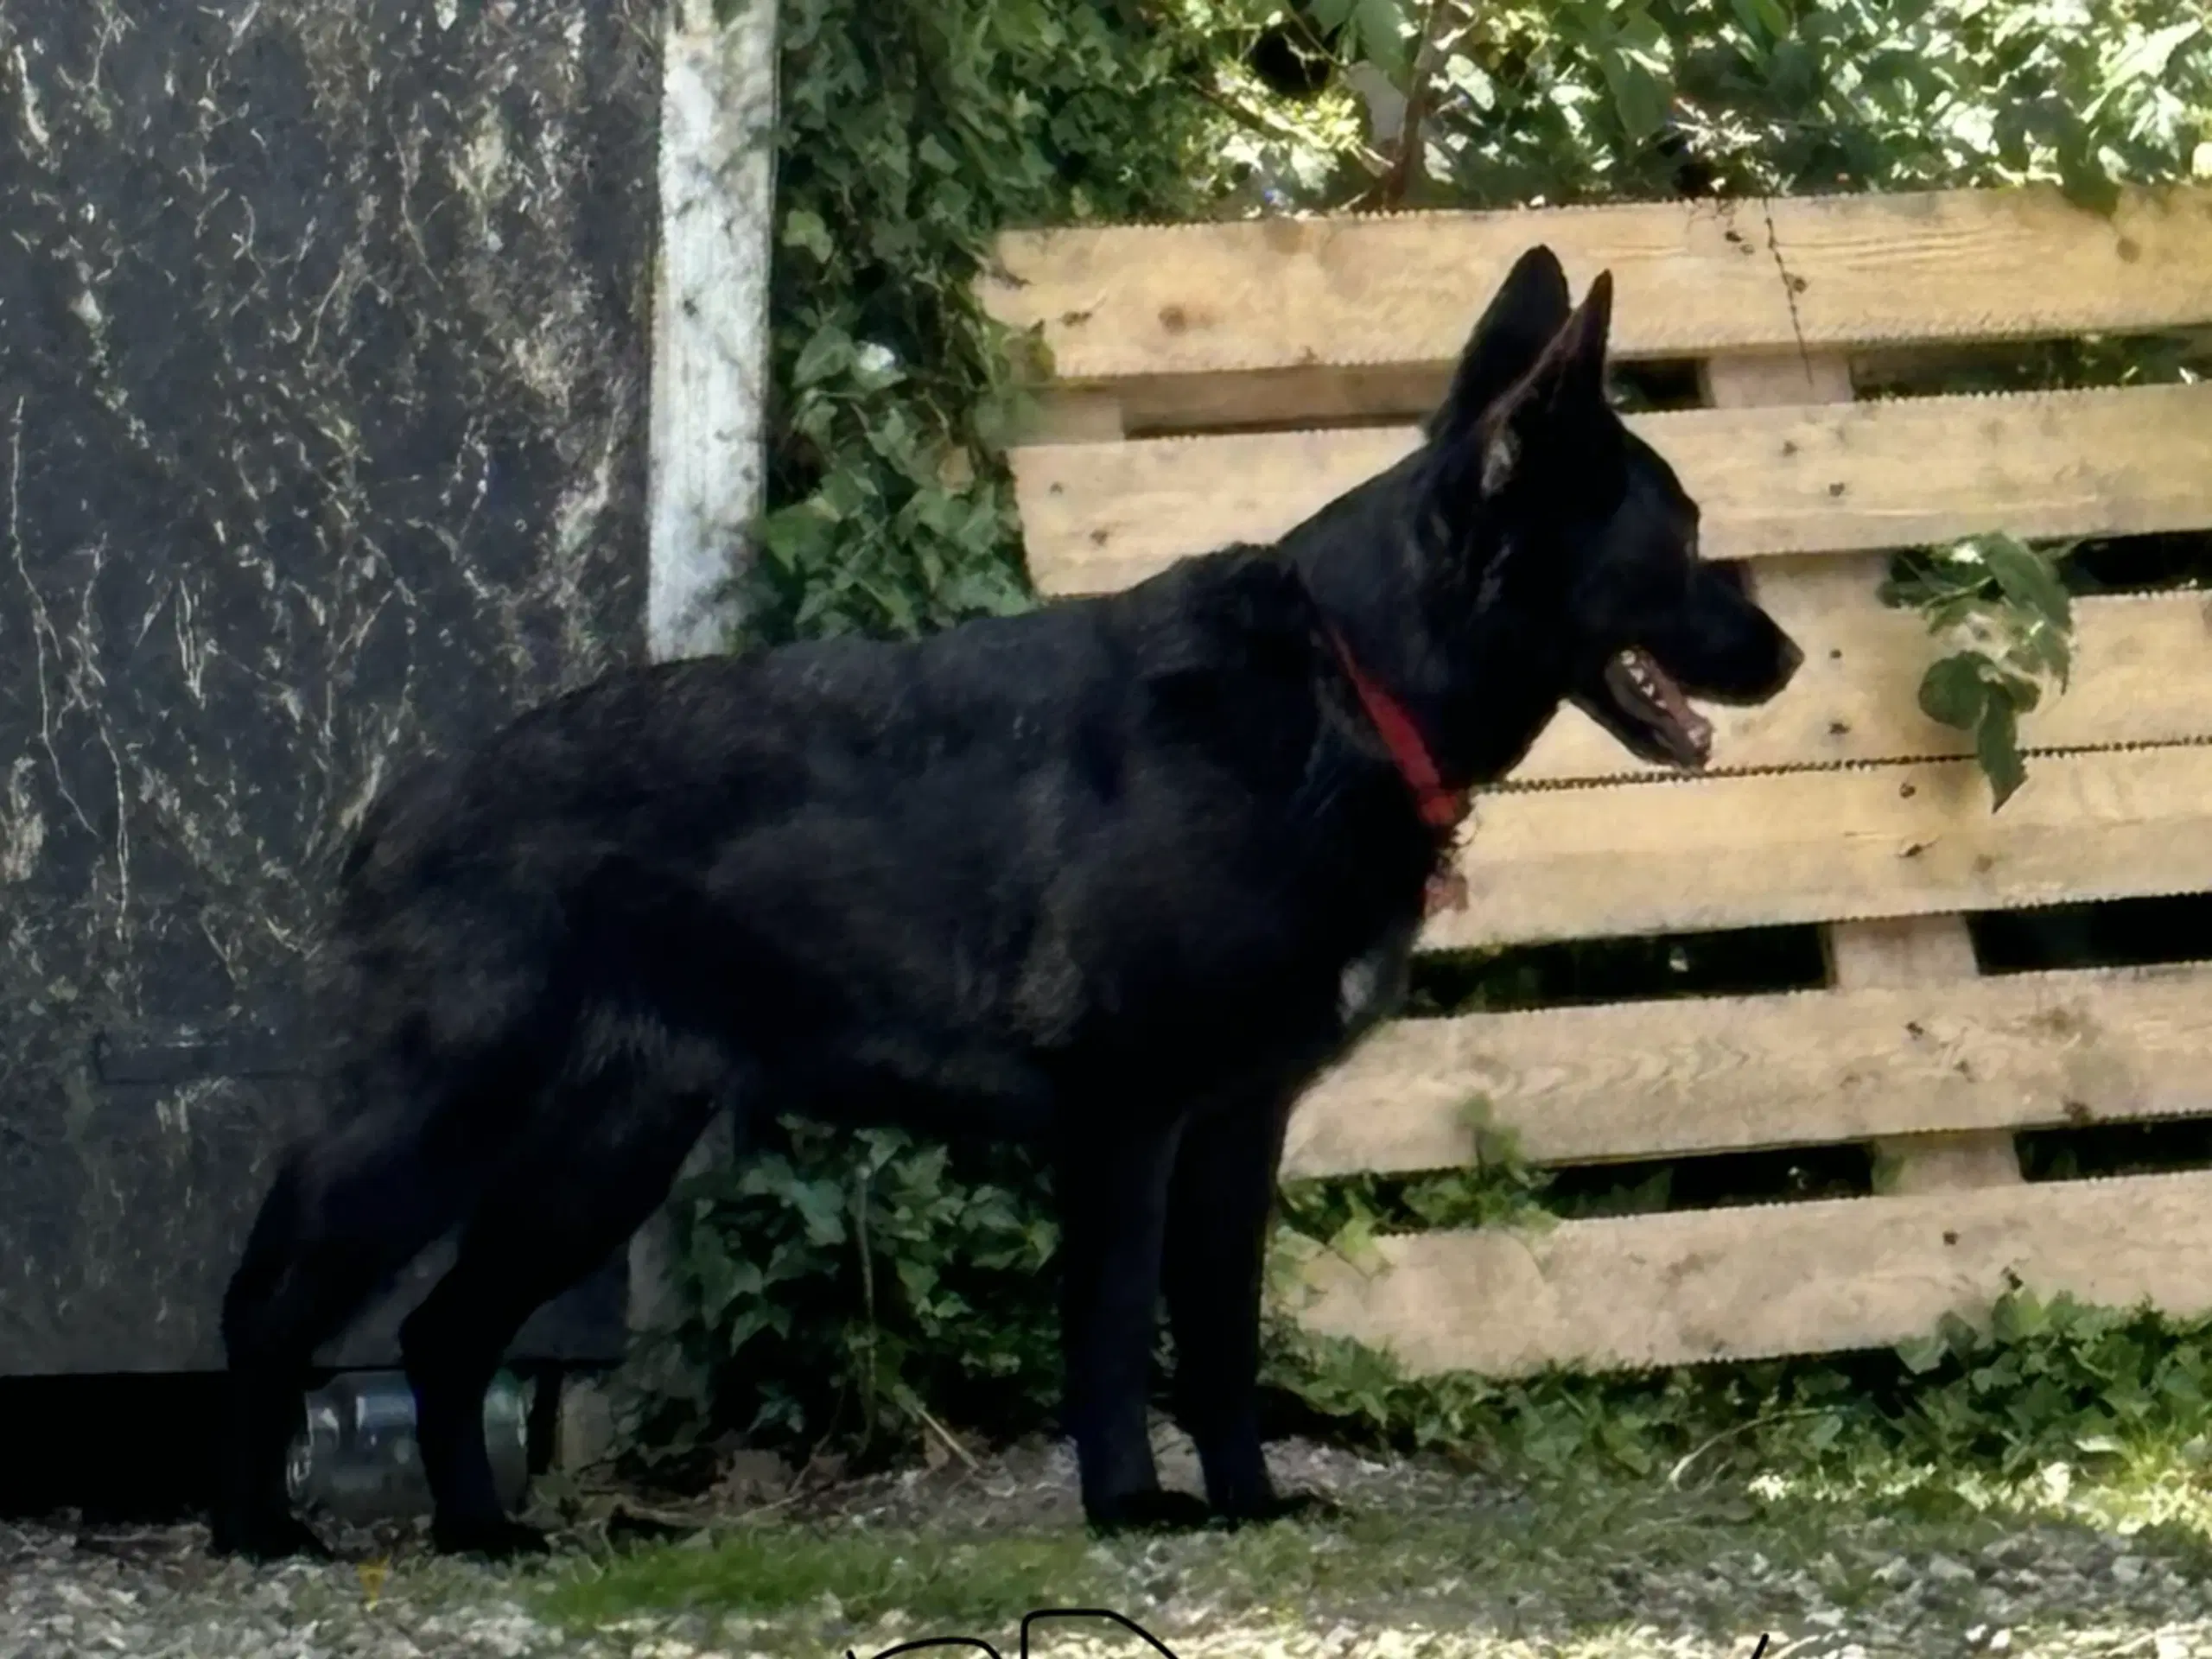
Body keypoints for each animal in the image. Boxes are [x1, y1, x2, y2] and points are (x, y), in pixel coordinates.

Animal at [211, 243, 1796, 1557]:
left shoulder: (1237, 1131)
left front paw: (1247, 1501)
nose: (1787, 657)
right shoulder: (1129, 1121)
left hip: (600, 1160)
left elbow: (1222, 1339)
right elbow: (1114, 1332)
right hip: (432, 1135)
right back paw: (260, 1532)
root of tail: (408, 801)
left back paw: (483, 1531)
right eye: (1681, 537)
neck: (1352, 682)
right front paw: (1132, 1506)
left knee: (442, 1335)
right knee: (271, 1315)